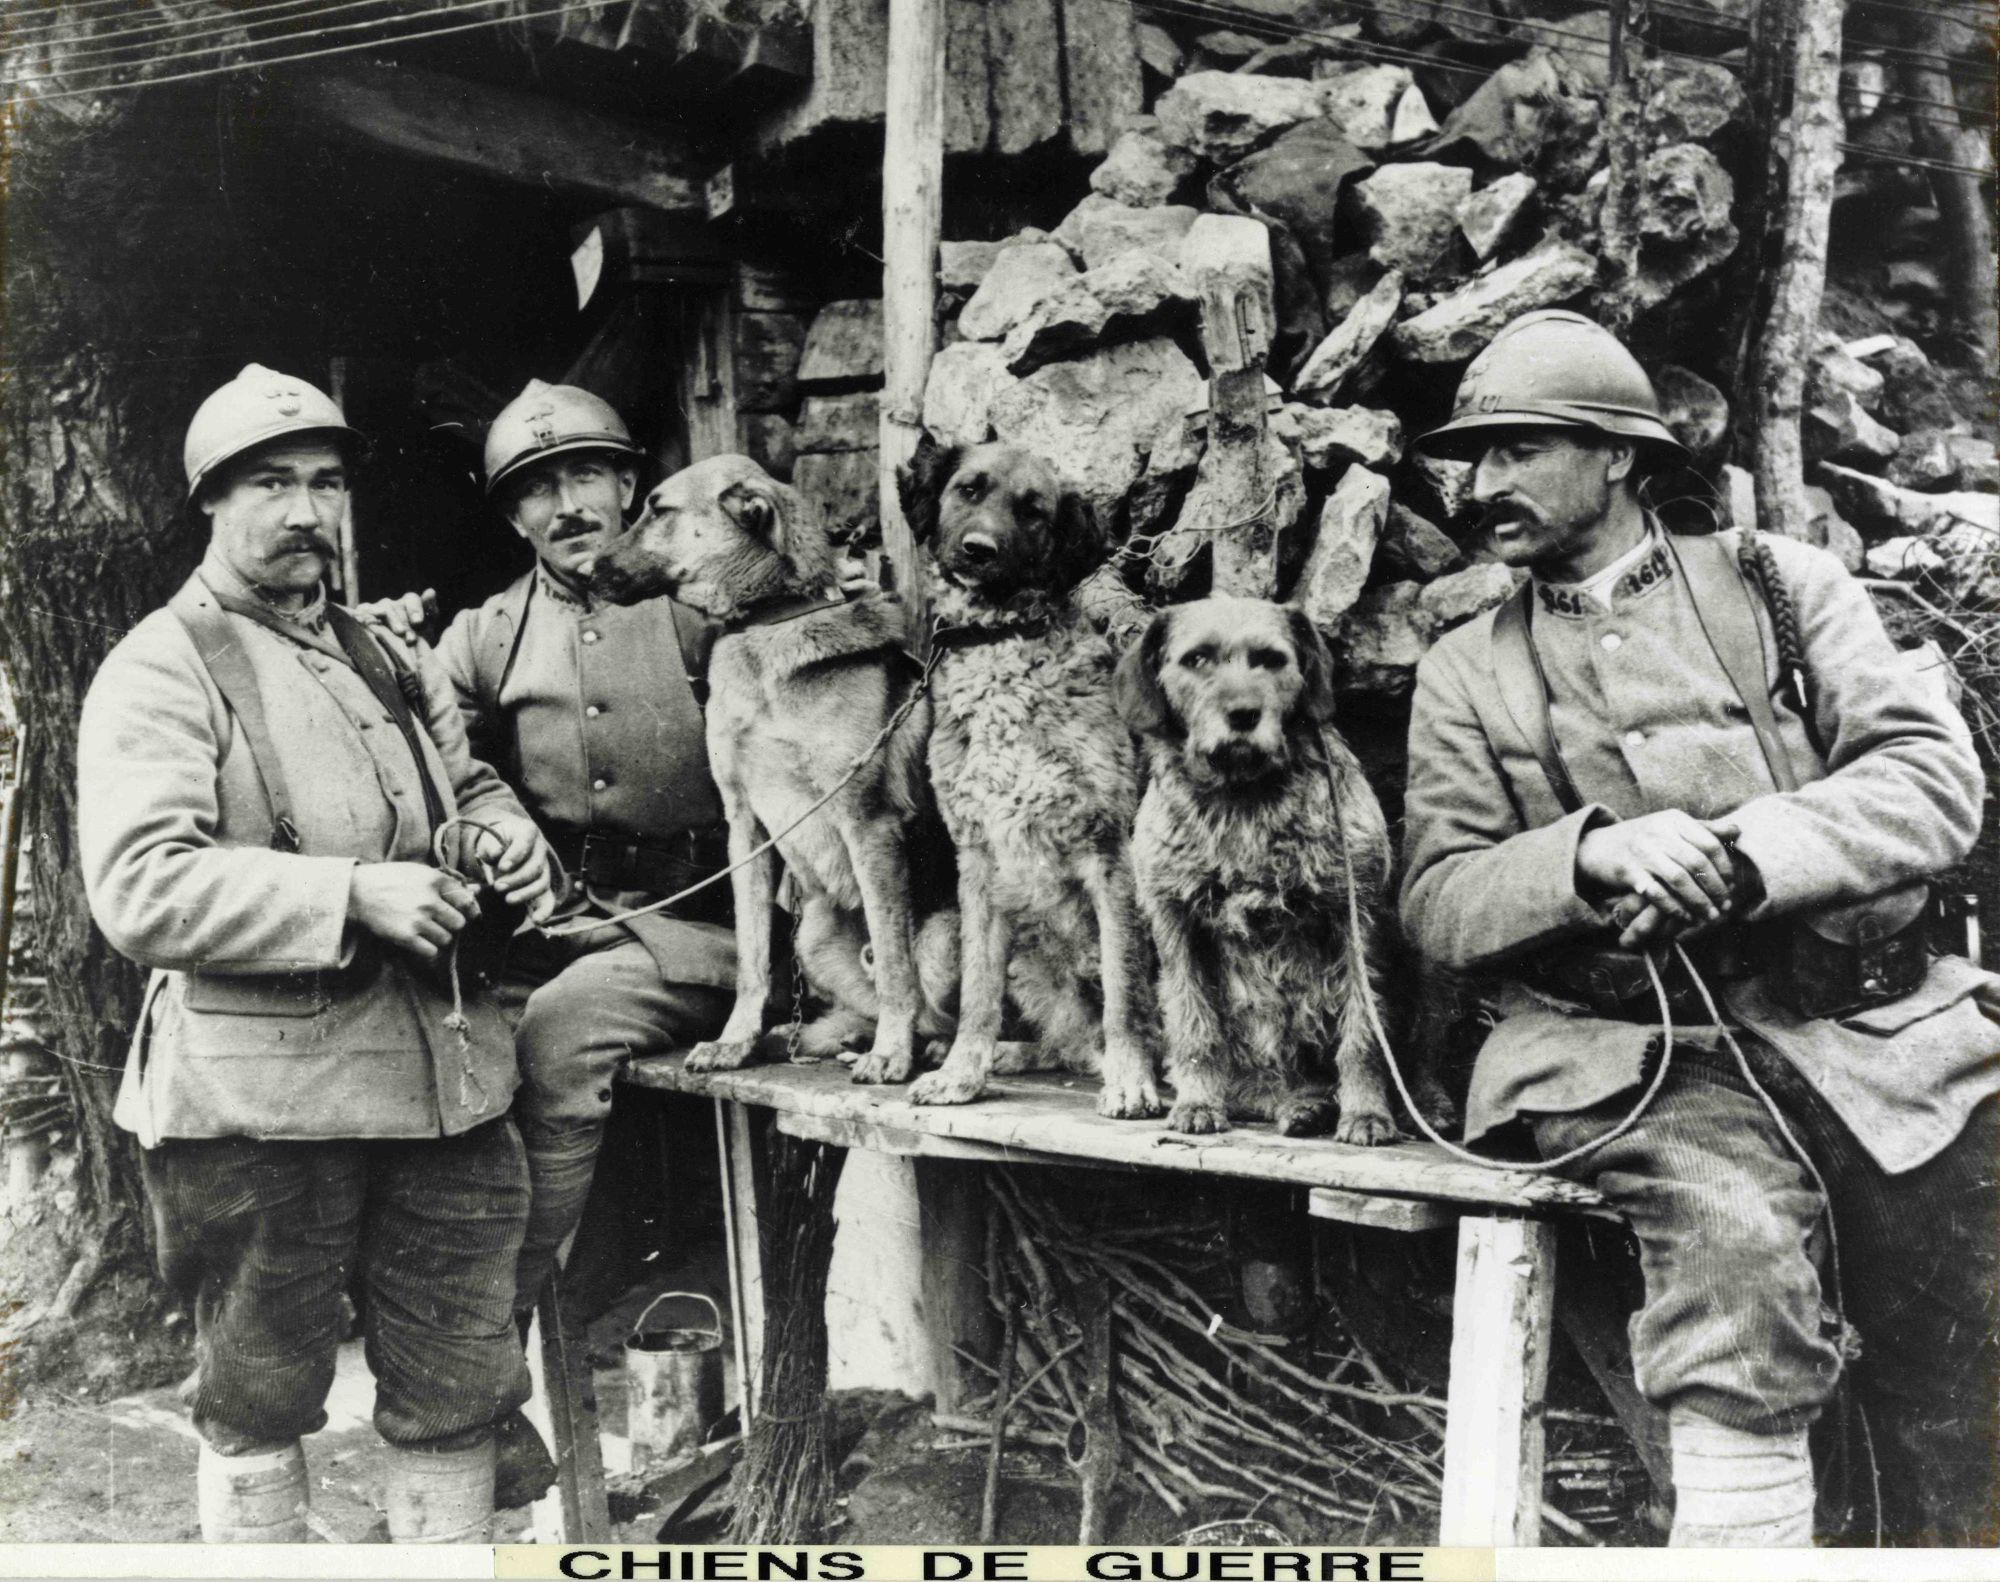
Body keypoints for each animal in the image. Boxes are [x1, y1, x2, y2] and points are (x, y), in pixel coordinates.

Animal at [900, 440, 1168, 1120]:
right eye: (969, 489)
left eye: (1033, 511)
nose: (978, 550)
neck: (1003, 642)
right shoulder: (977, 862)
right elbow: (979, 993)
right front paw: (963, 1072)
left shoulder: (1110, 854)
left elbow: (1126, 991)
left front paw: (1132, 1081)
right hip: (939, 938)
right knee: (1061, 1043)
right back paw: (1006, 1054)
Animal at [1120, 600, 1400, 1144]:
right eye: (1197, 659)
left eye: (1272, 660)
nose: (1244, 715)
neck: (1242, 799)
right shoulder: (1175, 922)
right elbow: (1193, 1023)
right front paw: (1199, 1102)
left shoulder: (1357, 920)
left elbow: (1362, 1030)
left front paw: (1367, 1113)